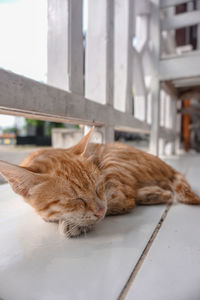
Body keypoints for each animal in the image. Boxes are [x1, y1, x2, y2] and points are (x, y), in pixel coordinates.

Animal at [0, 128, 198, 237]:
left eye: (98, 187)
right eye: (75, 200)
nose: (100, 210)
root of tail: (165, 164)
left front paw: (73, 223)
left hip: (113, 161)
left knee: (128, 200)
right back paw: (154, 194)